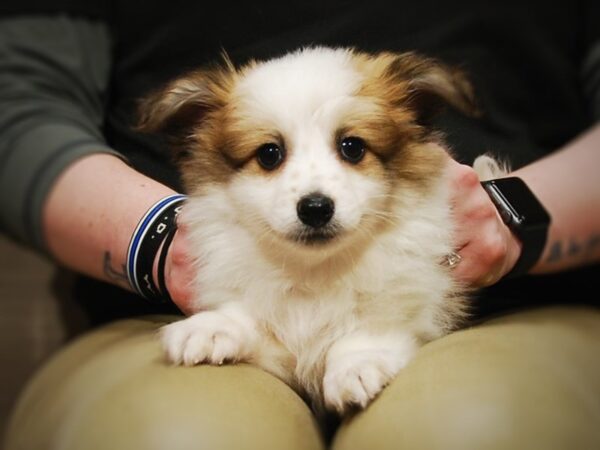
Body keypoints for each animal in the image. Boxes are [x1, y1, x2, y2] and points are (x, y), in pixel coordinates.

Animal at [138, 46, 500, 414]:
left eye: (352, 147)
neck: (315, 273)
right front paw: (212, 327)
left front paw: (356, 364)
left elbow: (368, 331)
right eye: (269, 154)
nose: (315, 208)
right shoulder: (279, 350)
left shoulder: (407, 312)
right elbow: (251, 320)